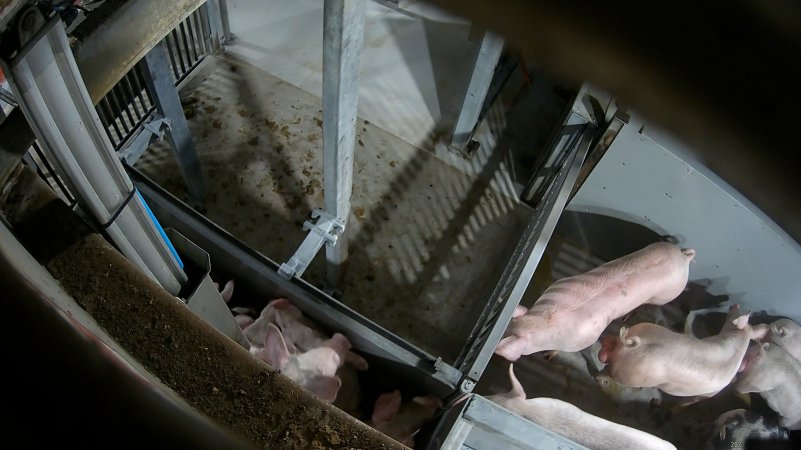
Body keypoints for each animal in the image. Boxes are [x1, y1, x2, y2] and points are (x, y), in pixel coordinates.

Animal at [494, 243, 692, 362]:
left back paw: (627, 318)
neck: (544, 321)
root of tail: (684, 256)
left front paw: (549, 357)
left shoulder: (586, 339)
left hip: (668, 294)